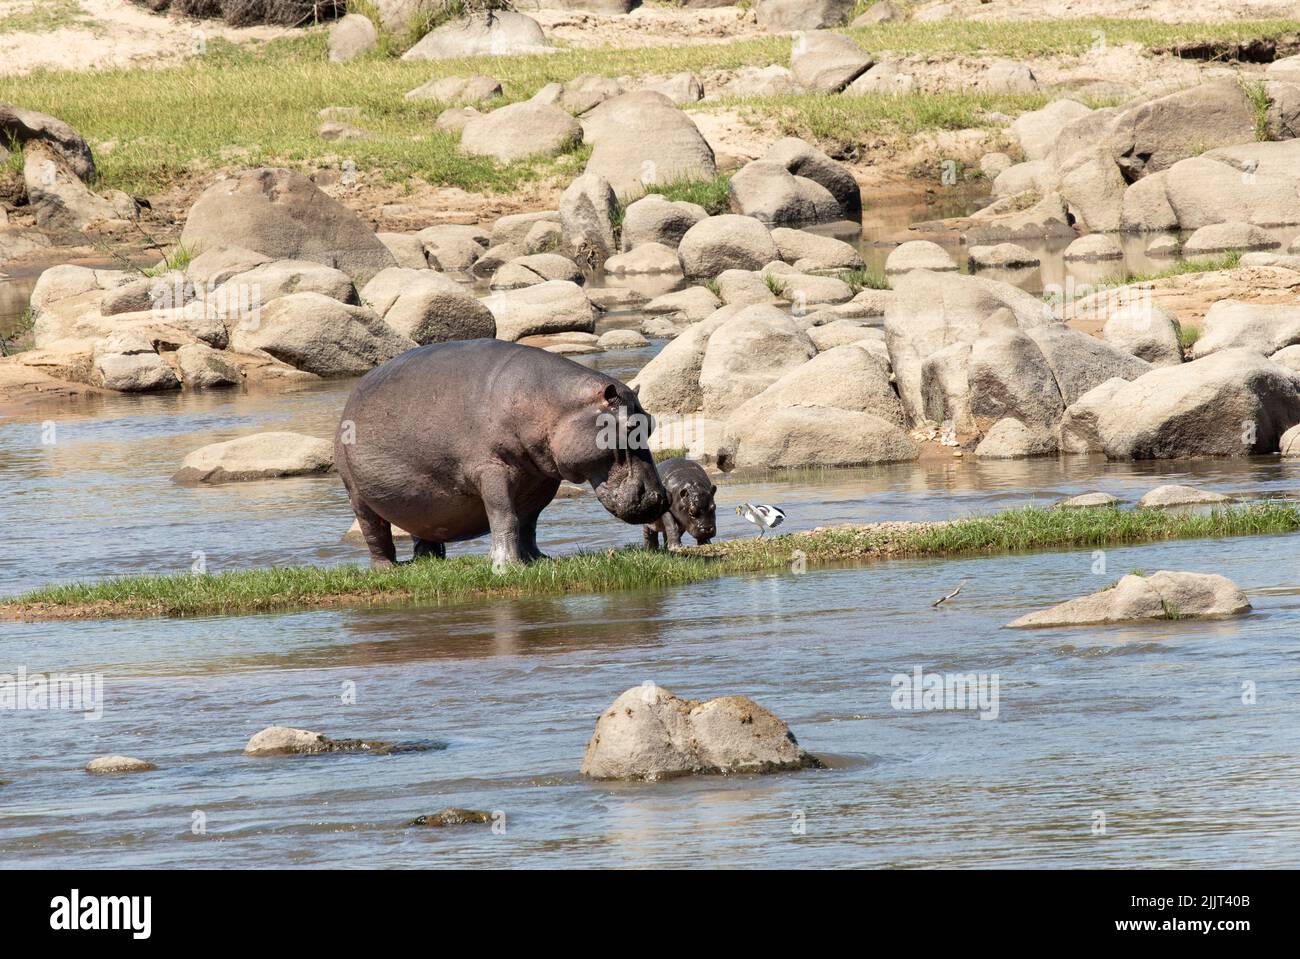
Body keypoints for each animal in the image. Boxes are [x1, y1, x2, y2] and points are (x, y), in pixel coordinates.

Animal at [335, 340, 670, 563]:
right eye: (630, 427)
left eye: (651, 423)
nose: (660, 498)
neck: (554, 405)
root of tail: (352, 396)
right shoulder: (491, 470)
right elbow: (504, 515)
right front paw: (507, 565)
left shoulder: (541, 480)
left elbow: (529, 522)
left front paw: (539, 559)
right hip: (356, 493)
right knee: (375, 534)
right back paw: (388, 568)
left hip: (420, 502)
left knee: (424, 534)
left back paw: (427, 562)